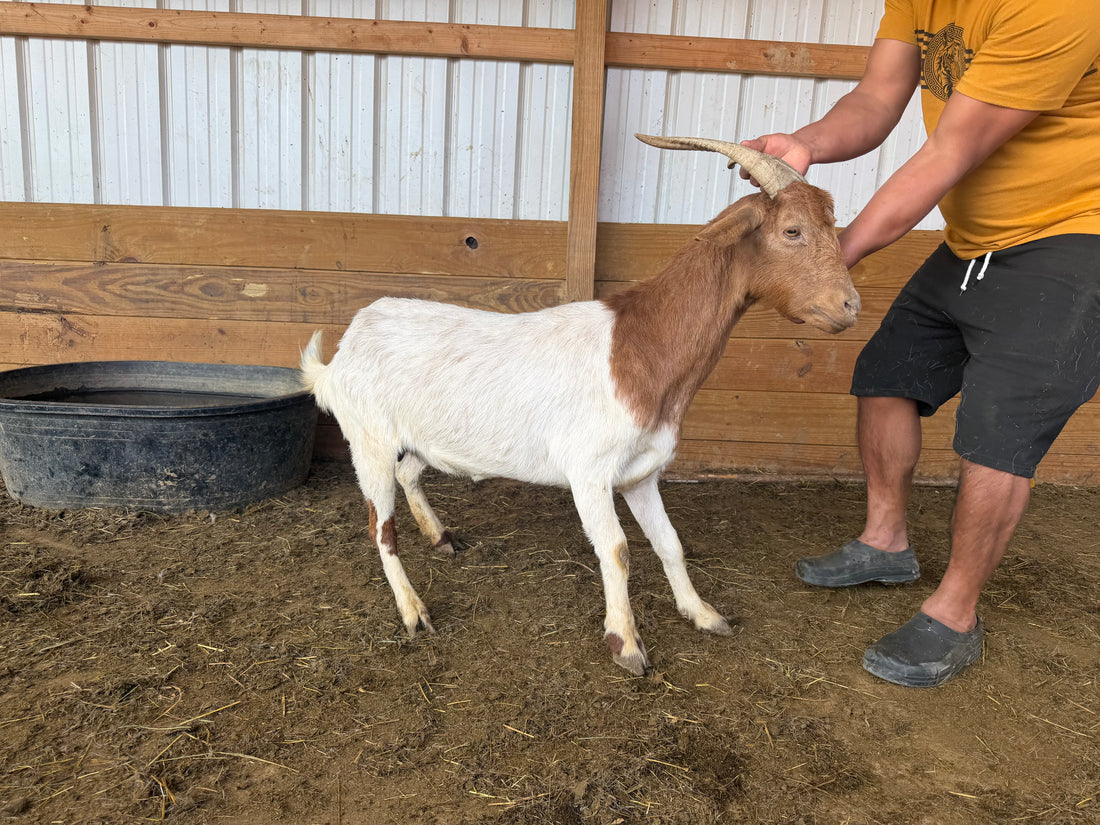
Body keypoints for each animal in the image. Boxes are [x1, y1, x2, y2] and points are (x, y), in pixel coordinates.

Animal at [300, 134, 860, 675]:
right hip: (368, 440)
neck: (641, 344)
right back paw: (414, 612)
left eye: (832, 225)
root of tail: (344, 350)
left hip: (420, 437)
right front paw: (626, 644)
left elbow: (670, 542)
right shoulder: (589, 471)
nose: (850, 306)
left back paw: (440, 538)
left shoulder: (640, 474)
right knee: (380, 528)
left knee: (409, 473)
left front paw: (703, 614)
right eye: (792, 230)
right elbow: (617, 550)